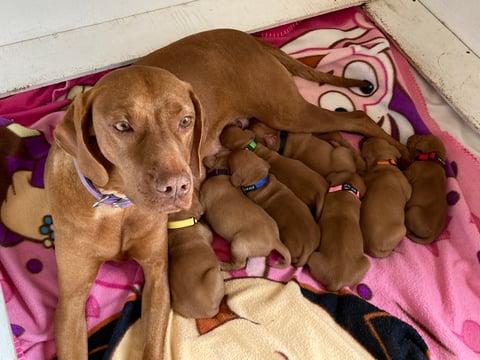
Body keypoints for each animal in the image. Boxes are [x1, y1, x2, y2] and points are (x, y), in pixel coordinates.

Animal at [44, 66, 203, 358]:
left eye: (186, 121)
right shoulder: (71, 301)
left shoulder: (157, 276)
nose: (176, 187)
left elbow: (152, 346)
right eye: (122, 126)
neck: (115, 205)